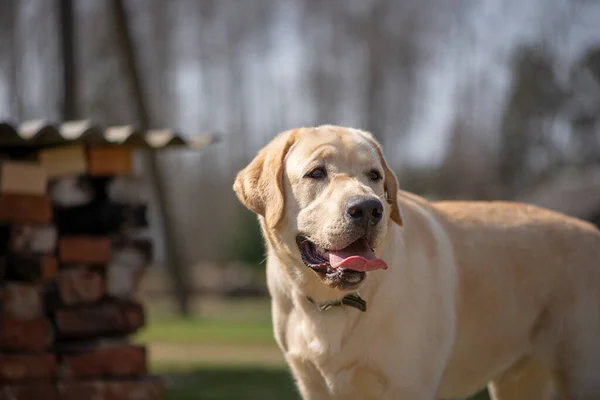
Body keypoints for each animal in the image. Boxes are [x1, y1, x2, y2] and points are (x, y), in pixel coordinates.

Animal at [233, 126, 600, 400]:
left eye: (374, 175)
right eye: (316, 173)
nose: (368, 208)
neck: (334, 303)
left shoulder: (408, 384)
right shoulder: (314, 386)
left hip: (581, 373)